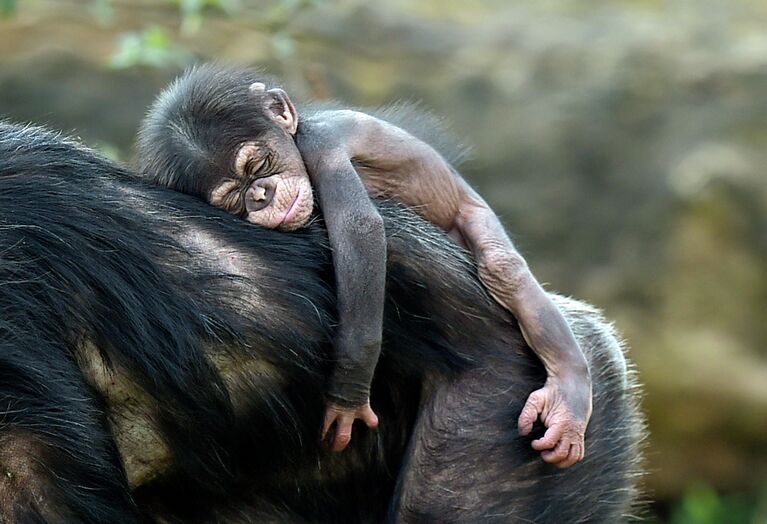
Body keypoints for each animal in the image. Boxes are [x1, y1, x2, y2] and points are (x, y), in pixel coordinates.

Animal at [138, 64, 592, 466]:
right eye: (235, 199)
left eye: (258, 166)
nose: (261, 195)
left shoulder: (322, 147)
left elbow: (360, 228)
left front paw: (347, 396)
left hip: (472, 212)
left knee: (502, 269)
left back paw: (568, 397)